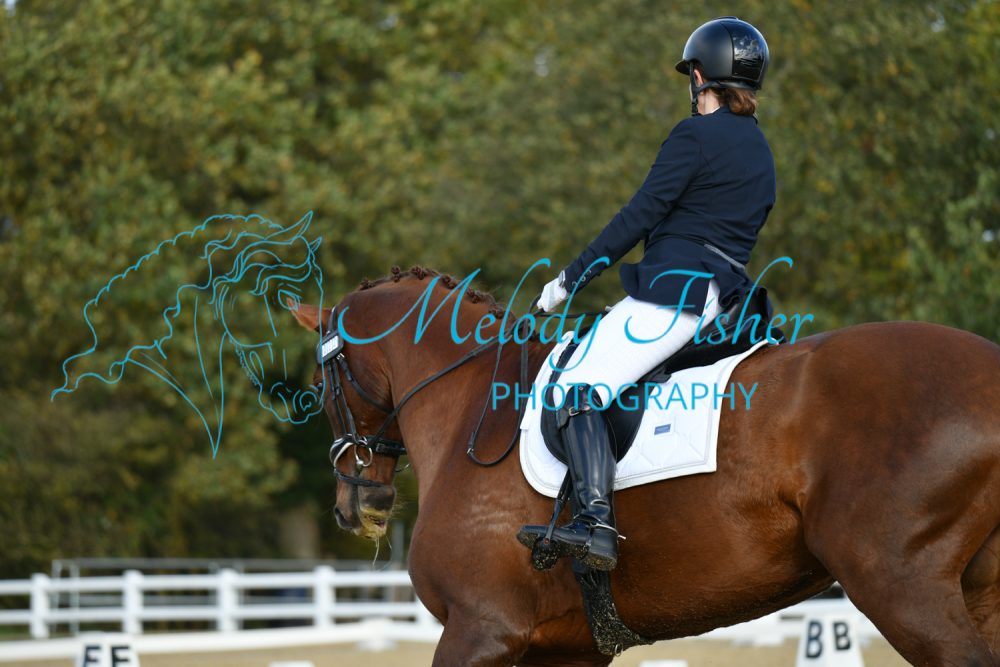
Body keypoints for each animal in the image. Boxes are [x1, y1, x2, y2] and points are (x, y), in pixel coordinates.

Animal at [290, 266, 1000, 667]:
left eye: (323, 384)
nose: (357, 505)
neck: (472, 405)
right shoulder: (566, 650)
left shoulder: (478, 630)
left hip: (900, 582)